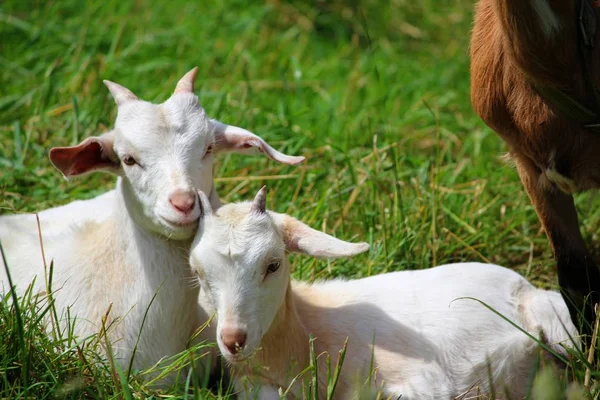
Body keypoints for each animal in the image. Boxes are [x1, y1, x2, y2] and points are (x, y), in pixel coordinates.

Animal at [190, 188, 580, 400]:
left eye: (273, 264)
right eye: (198, 272)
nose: (233, 340)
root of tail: (522, 284)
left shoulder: (424, 380)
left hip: (559, 323)